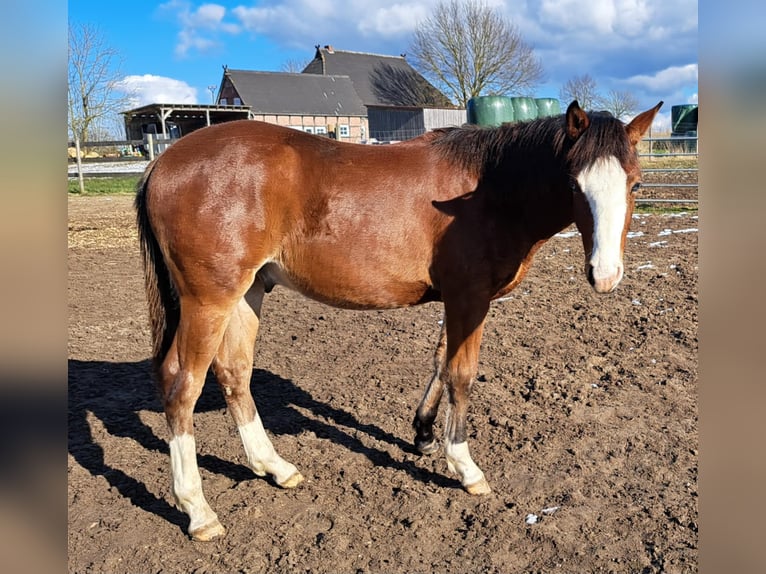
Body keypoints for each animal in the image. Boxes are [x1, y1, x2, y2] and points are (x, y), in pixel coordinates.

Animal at [136, 101, 660, 544]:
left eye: (635, 185)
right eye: (574, 185)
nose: (605, 275)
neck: (488, 189)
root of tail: (164, 162)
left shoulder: (457, 299)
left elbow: (440, 362)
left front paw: (425, 433)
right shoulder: (470, 298)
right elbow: (461, 374)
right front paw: (464, 466)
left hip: (248, 293)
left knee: (234, 375)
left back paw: (274, 466)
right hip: (209, 300)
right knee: (182, 387)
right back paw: (198, 511)